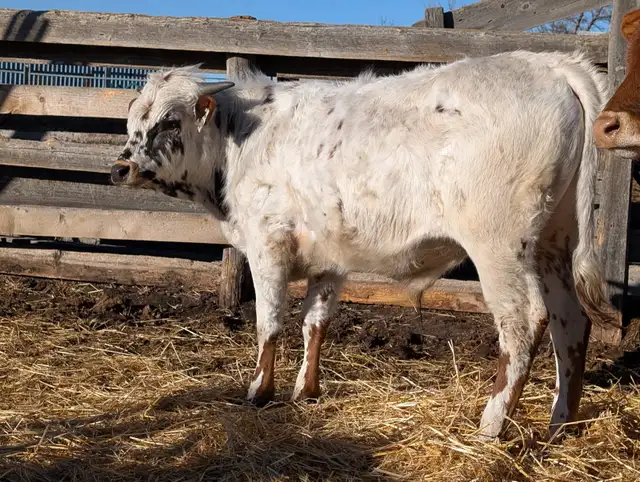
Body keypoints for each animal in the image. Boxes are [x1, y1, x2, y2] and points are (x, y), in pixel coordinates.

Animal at [111, 51, 615, 439]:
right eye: (134, 119)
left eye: (169, 121)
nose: (120, 167)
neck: (242, 141)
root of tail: (548, 63)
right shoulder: (330, 259)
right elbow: (314, 324)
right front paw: (306, 391)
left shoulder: (267, 245)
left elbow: (268, 324)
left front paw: (258, 392)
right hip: (553, 242)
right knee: (571, 323)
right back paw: (560, 424)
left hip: (499, 246)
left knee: (523, 324)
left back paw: (491, 424)